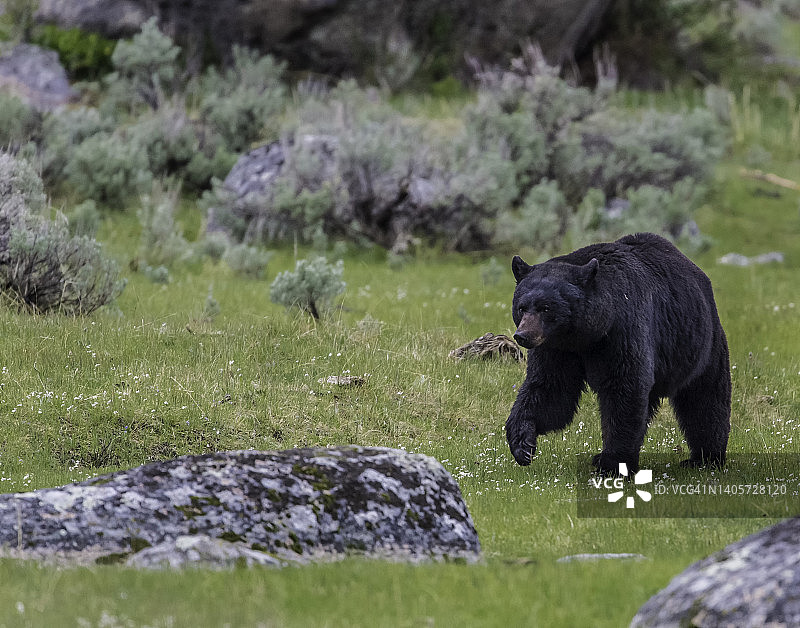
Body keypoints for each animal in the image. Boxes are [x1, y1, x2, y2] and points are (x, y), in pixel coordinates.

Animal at [506, 232, 731, 474]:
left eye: (546, 308)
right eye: (521, 307)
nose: (523, 335)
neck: (585, 335)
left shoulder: (622, 331)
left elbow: (623, 387)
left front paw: (612, 463)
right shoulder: (556, 349)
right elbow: (551, 389)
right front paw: (522, 444)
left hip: (700, 345)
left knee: (705, 399)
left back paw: (706, 457)